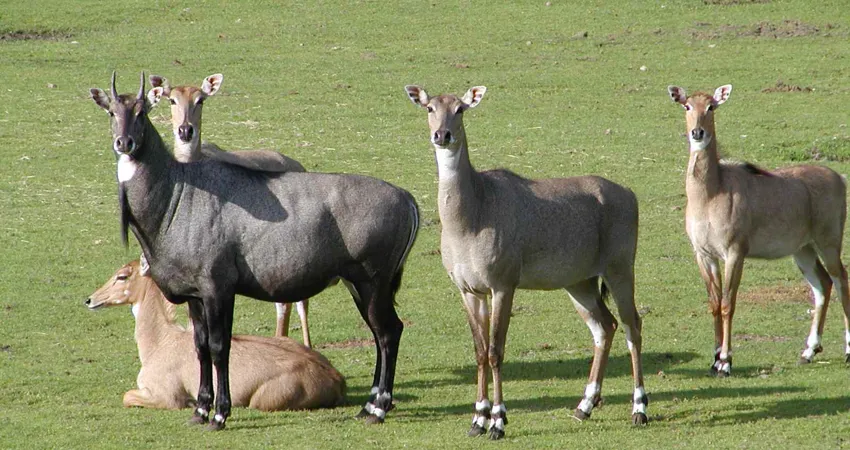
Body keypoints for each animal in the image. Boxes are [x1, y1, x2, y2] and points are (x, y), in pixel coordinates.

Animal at [85, 259, 345, 411]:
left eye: (122, 276)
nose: (90, 299)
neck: (161, 340)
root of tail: (335, 378)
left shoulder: (166, 397)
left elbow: (127, 396)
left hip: (260, 402)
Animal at [404, 85, 648, 439]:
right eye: (429, 107)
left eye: (461, 109)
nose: (442, 135)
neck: (471, 217)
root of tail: (630, 194)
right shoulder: (468, 289)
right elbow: (479, 351)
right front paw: (476, 420)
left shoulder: (503, 283)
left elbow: (496, 351)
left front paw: (498, 421)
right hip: (579, 281)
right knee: (605, 326)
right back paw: (584, 406)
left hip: (619, 267)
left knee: (633, 325)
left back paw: (639, 409)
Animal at [667, 84, 850, 376]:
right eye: (687, 106)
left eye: (711, 107)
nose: (698, 133)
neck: (710, 194)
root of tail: (839, 179)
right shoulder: (704, 254)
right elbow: (714, 303)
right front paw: (714, 359)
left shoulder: (734, 251)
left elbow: (728, 303)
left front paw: (726, 361)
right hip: (803, 249)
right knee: (822, 284)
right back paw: (809, 351)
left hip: (829, 241)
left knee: (841, 279)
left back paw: (847, 351)